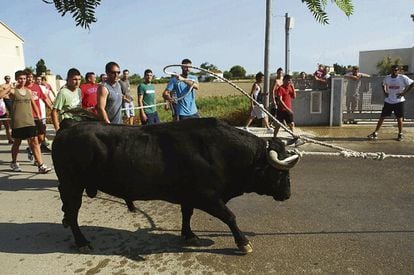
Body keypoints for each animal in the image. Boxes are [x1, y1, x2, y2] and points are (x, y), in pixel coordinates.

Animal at [51, 118, 300, 254]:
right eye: (280, 172)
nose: (288, 194)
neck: (219, 150)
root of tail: (69, 126)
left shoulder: (189, 196)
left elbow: (187, 214)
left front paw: (189, 235)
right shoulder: (208, 197)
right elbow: (230, 216)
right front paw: (243, 242)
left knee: (68, 209)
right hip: (73, 185)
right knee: (73, 212)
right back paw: (82, 241)